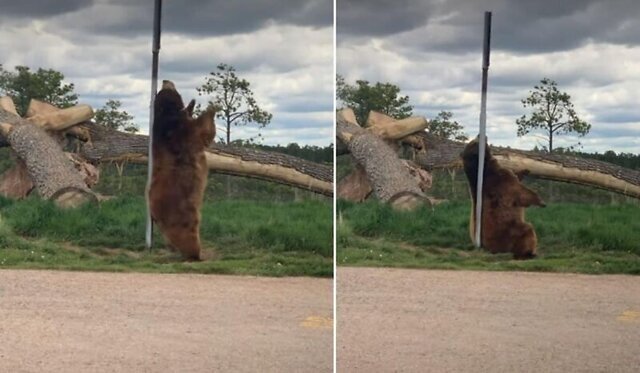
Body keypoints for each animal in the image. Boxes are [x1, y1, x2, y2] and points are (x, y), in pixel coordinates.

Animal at [147, 80, 215, 260]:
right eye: (168, 89)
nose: (167, 81)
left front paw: (192, 103)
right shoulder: (178, 134)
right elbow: (201, 129)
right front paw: (212, 108)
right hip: (179, 217)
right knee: (186, 237)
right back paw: (195, 254)